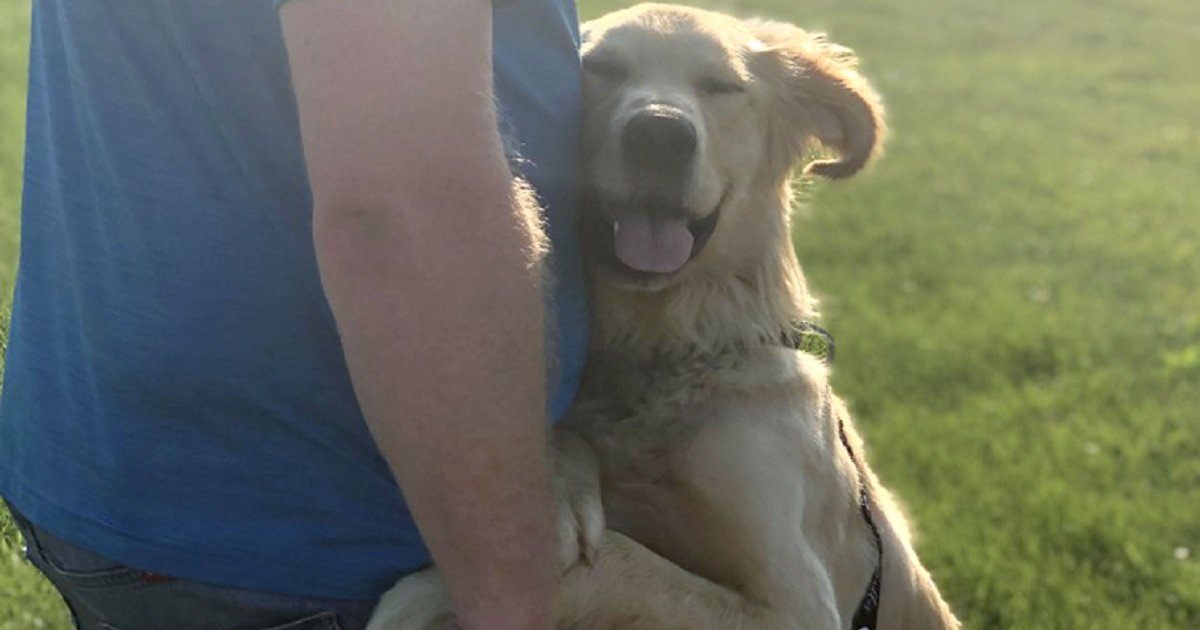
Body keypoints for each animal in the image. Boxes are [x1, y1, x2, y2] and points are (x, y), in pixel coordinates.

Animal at [369, 4, 960, 628]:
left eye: (722, 86)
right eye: (601, 68)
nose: (660, 133)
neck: (667, 352)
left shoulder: (796, 604)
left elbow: (624, 561)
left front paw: (429, 593)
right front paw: (556, 486)